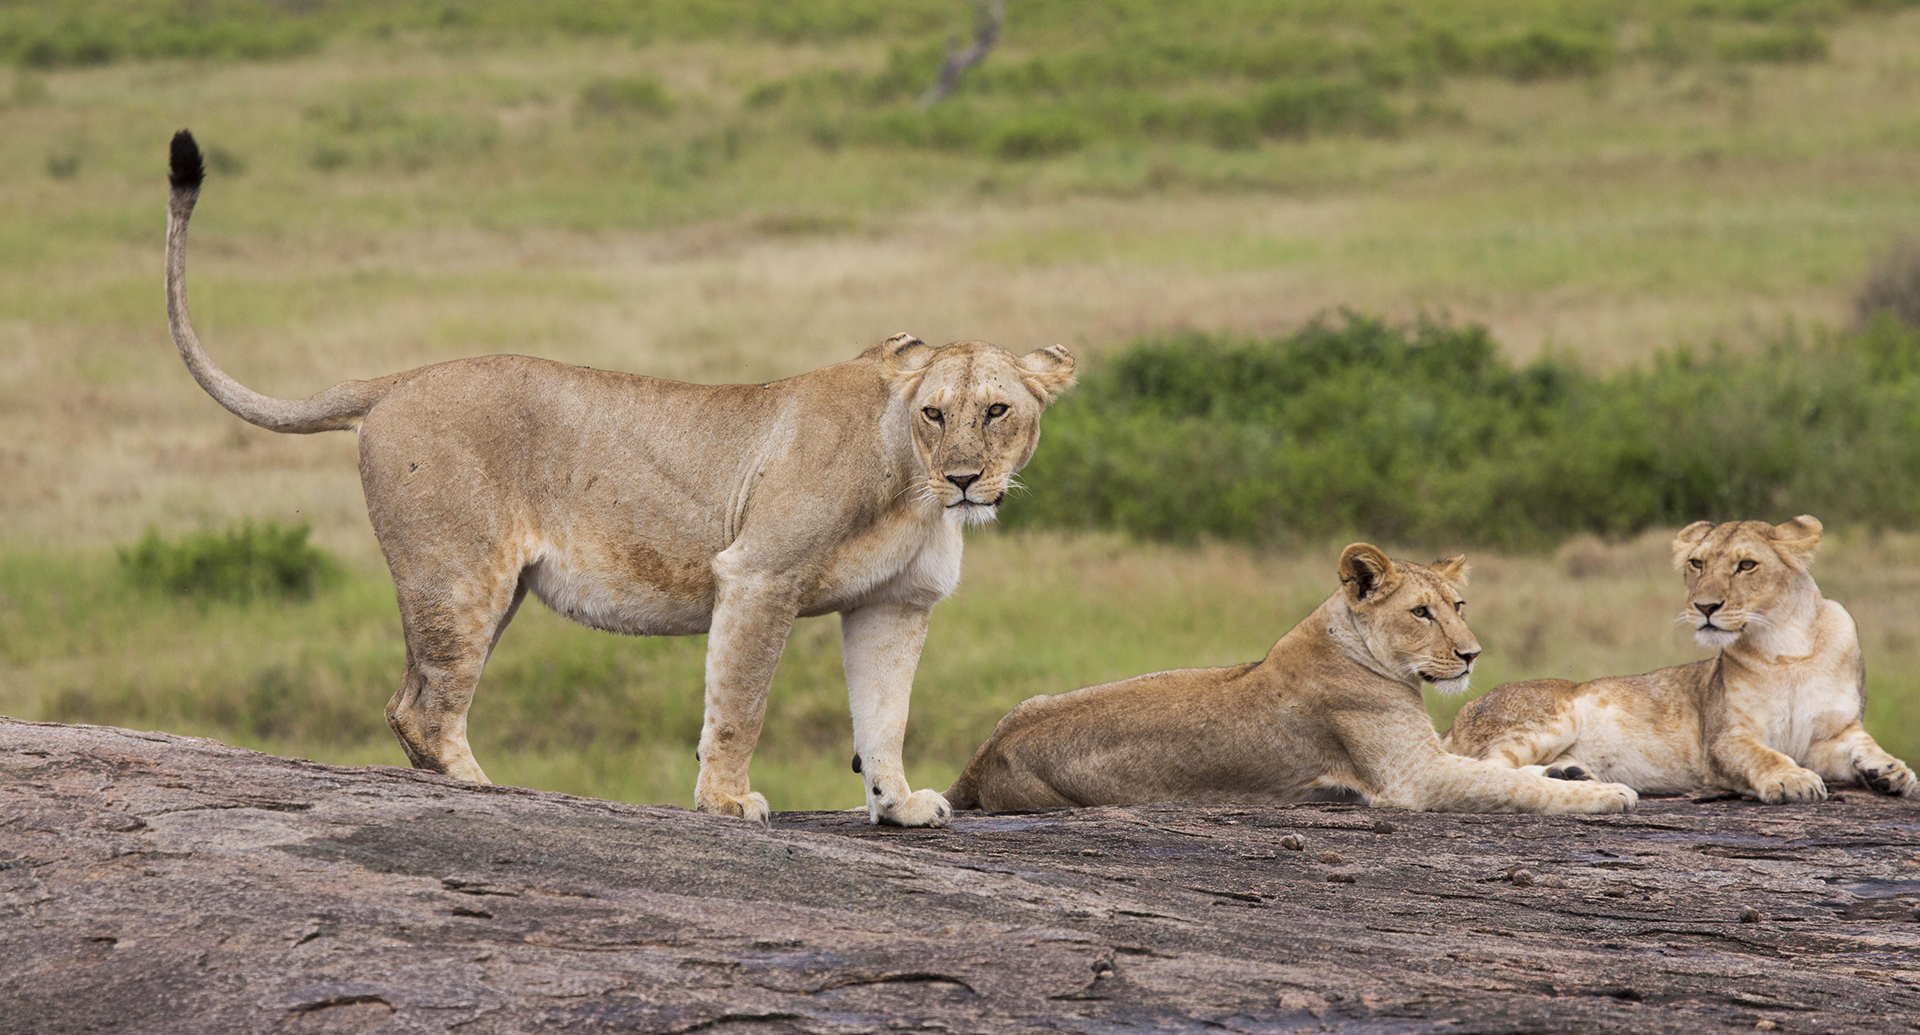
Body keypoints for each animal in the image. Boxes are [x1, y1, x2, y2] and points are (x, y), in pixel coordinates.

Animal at [159, 131, 1075, 825]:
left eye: (997, 411)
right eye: (936, 413)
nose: (966, 479)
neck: (912, 488)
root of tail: (395, 379)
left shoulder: (895, 603)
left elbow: (884, 712)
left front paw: (898, 802)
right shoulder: (759, 572)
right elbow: (739, 701)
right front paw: (726, 801)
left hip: (490, 586)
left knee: (412, 702)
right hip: (456, 575)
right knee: (423, 707)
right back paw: (492, 792)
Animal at [944, 545, 1635, 814]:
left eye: (1458, 606)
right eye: (1421, 613)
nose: (1472, 655)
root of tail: (982, 756)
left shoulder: (1428, 757)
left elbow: (1501, 769)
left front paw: (1571, 772)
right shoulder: (1412, 777)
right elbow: (1509, 785)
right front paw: (1603, 794)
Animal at [1443, 514, 1912, 802]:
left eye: (1746, 565)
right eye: (1696, 563)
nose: (1704, 607)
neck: (1786, 647)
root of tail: (1460, 712)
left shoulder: (1829, 736)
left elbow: (1862, 745)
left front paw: (1891, 772)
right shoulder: (1723, 739)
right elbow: (1765, 756)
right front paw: (1792, 779)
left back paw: (1571, 775)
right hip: (1550, 719)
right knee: (1484, 768)